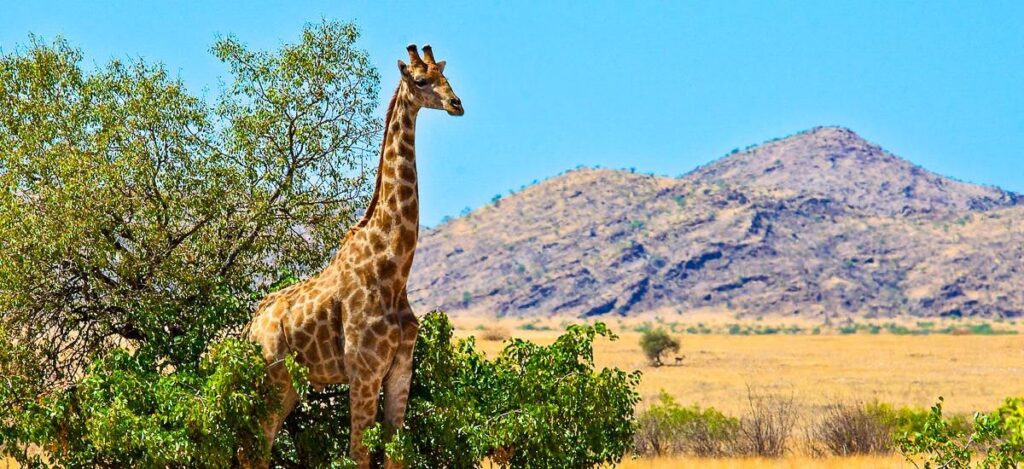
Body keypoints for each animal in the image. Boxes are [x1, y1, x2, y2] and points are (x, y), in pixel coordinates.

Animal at [240, 44, 463, 469]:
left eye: (446, 77)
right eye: (421, 81)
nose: (456, 104)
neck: (393, 269)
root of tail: (250, 327)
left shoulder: (400, 370)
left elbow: (395, 454)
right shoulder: (364, 371)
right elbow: (358, 453)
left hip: (290, 385)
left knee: (258, 446)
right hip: (271, 377)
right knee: (253, 449)